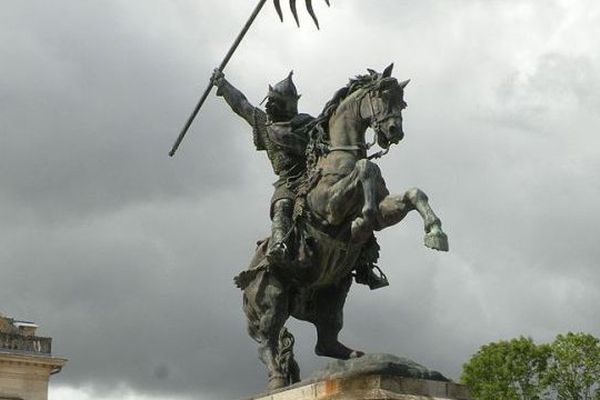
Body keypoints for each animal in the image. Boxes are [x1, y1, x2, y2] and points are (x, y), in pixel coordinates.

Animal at [237, 63, 448, 390]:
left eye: (402, 103)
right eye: (381, 96)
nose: (394, 132)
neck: (339, 156)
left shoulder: (387, 212)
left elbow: (413, 193)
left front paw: (436, 233)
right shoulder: (328, 208)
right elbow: (367, 168)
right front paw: (361, 219)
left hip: (332, 294)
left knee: (324, 342)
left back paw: (354, 357)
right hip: (271, 299)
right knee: (267, 343)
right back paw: (276, 380)